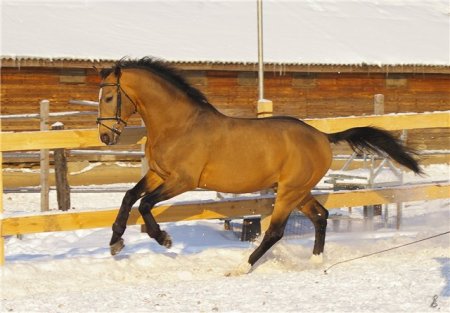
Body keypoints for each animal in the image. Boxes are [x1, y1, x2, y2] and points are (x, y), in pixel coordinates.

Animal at [96, 56, 422, 272]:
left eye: (109, 96)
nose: (105, 136)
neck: (179, 125)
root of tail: (322, 136)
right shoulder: (157, 173)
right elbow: (129, 197)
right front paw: (115, 242)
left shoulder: (182, 180)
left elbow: (145, 204)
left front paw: (163, 238)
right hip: (297, 191)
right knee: (321, 216)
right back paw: (315, 260)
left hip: (289, 192)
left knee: (276, 231)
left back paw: (243, 266)